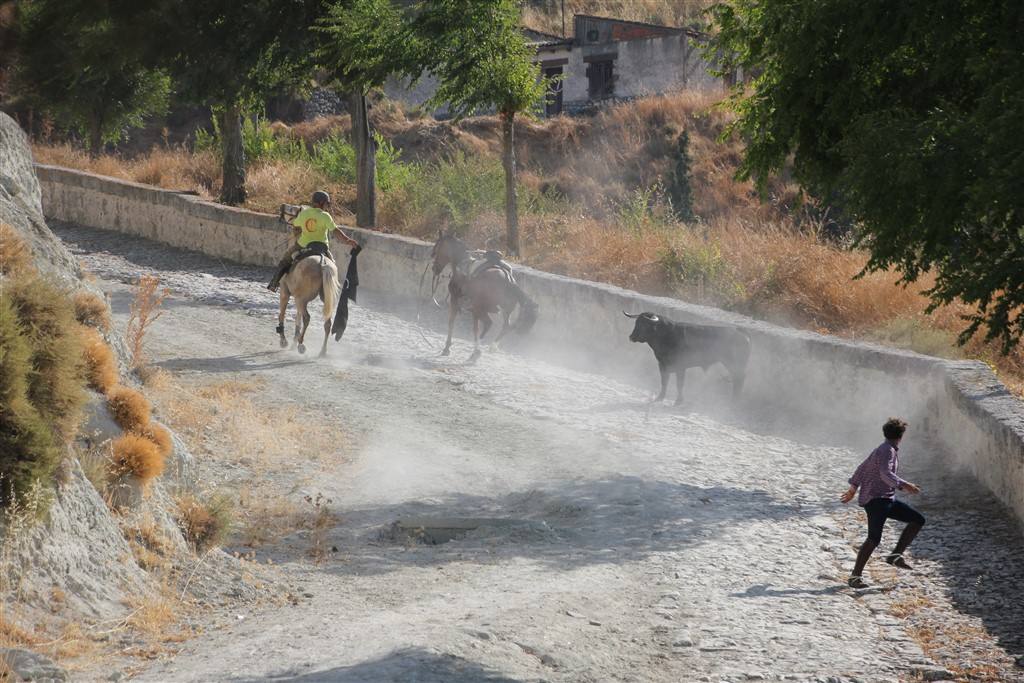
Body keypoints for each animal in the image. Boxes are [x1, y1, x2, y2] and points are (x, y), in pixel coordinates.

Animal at [430, 232, 540, 360]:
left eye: (437, 248)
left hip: (479, 309)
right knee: (506, 326)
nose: (434, 268)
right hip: (503, 311)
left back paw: (477, 350)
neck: (461, 264)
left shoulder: (454, 301)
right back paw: (490, 347)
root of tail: (509, 281)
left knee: (486, 325)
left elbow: (451, 323)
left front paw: (447, 348)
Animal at [622, 313, 753, 403]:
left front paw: (678, 401)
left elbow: (679, 384)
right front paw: (660, 397)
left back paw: (734, 401)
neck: (666, 334)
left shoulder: (680, 367)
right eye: (636, 323)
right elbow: (664, 382)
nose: (631, 337)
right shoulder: (662, 365)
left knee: (739, 379)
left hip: (734, 364)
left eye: (644, 325)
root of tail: (741, 332)